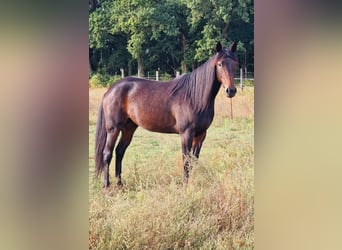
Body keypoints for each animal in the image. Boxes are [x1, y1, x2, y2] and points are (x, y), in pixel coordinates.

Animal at [93, 41, 238, 188]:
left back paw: (120, 184)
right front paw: (185, 185)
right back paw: (106, 185)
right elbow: (186, 160)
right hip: (113, 129)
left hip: (129, 128)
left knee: (120, 151)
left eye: (235, 64)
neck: (194, 97)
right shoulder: (186, 133)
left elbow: (194, 160)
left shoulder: (201, 134)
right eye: (220, 64)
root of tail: (111, 89)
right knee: (107, 154)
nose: (231, 90)